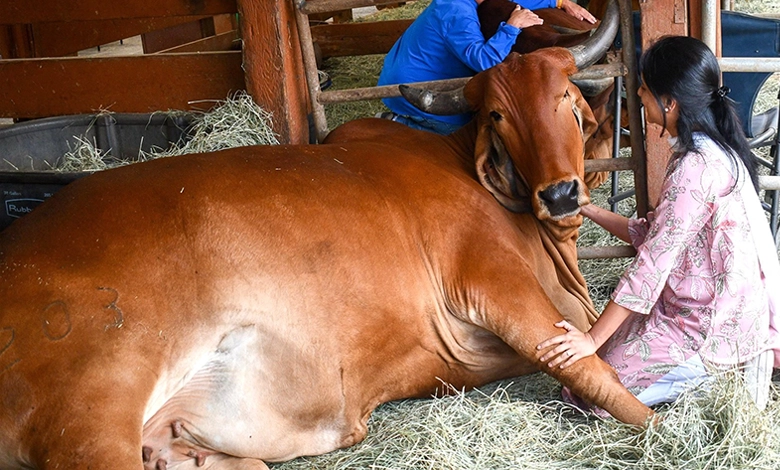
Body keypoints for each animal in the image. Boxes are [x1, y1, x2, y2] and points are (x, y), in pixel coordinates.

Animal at [0, 1, 650, 469]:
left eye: (565, 98)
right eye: (498, 115)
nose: (560, 195)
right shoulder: (490, 276)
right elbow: (592, 369)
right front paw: (660, 426)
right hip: (93, 402)